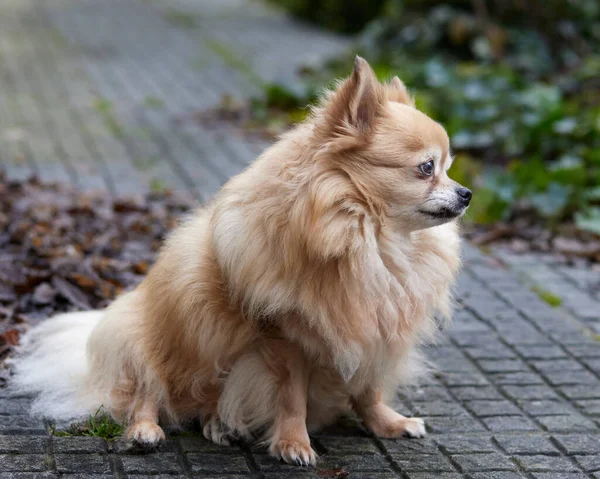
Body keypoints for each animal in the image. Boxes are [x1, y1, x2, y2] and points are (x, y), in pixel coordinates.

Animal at [11, 56, 468, 464]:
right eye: (427, 168)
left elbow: (368, 390)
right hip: (142, 338)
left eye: (449, 168)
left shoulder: (377, 334)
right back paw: (146, 431)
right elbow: (292, 398)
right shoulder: (287, 342)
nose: (466, 193)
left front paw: (387, 424)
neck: (373, 242)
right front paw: (293, 444)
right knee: (146, 393)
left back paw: (218, 425)